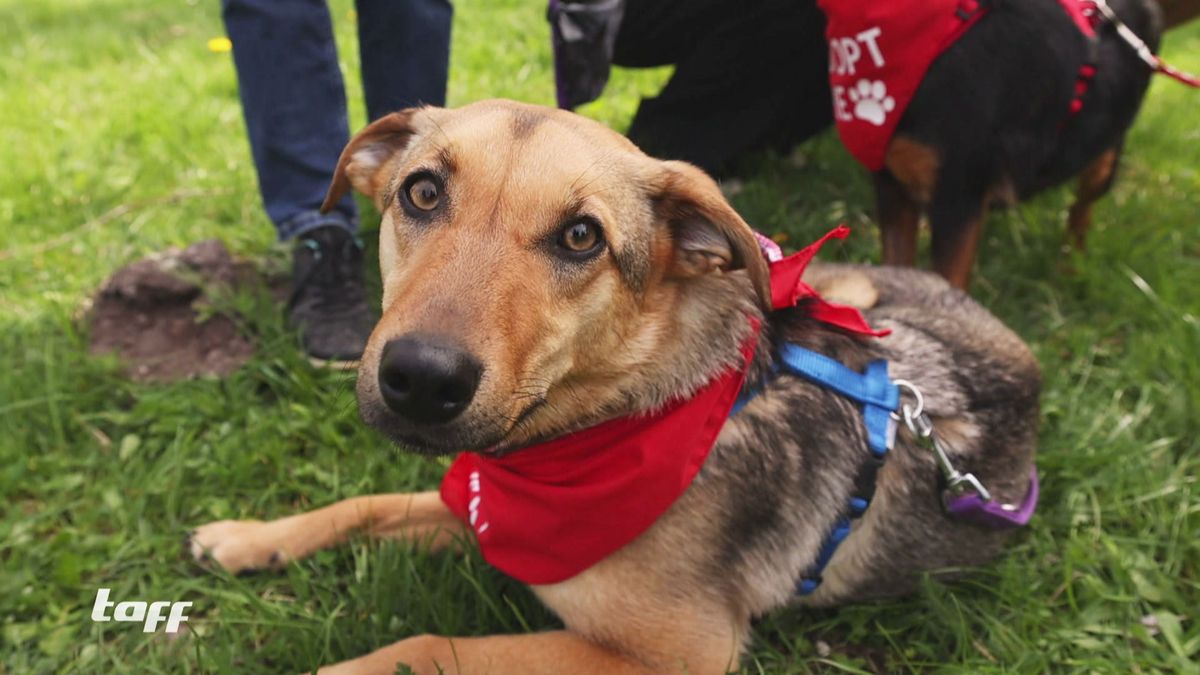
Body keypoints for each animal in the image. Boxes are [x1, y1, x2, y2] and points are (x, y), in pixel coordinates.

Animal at [189, 100, 1041, 672]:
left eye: (581, 237)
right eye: (422, 192)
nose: (421, 379)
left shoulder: (679, 652)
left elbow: (433, 644)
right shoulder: (476, 506)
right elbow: (362, 506)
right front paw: (248, 536)